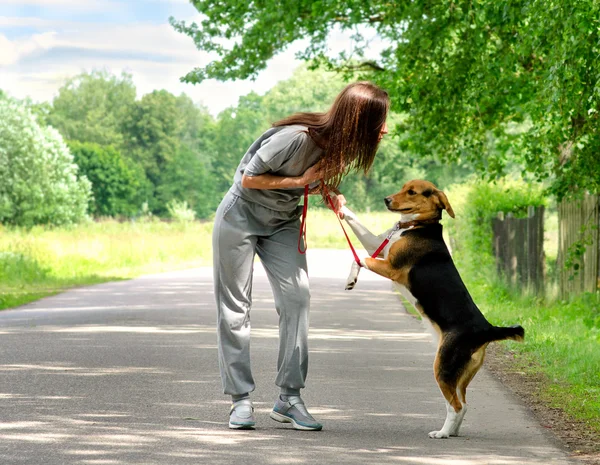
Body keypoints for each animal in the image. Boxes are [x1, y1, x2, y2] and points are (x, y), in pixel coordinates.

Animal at [340, 179, 524, 438]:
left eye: (412, 192)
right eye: (402, 187)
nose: (386, 200)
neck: (419, 225)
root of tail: (487, 328)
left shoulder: (390, 267)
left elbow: (358, 259)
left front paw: (351, 279)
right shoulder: (378, 245)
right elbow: (358, 227)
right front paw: (339, 205)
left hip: (443, 366)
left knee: (456, 406)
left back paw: (443, 433)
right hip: (460, 373)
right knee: (462, 403)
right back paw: (452, 431)